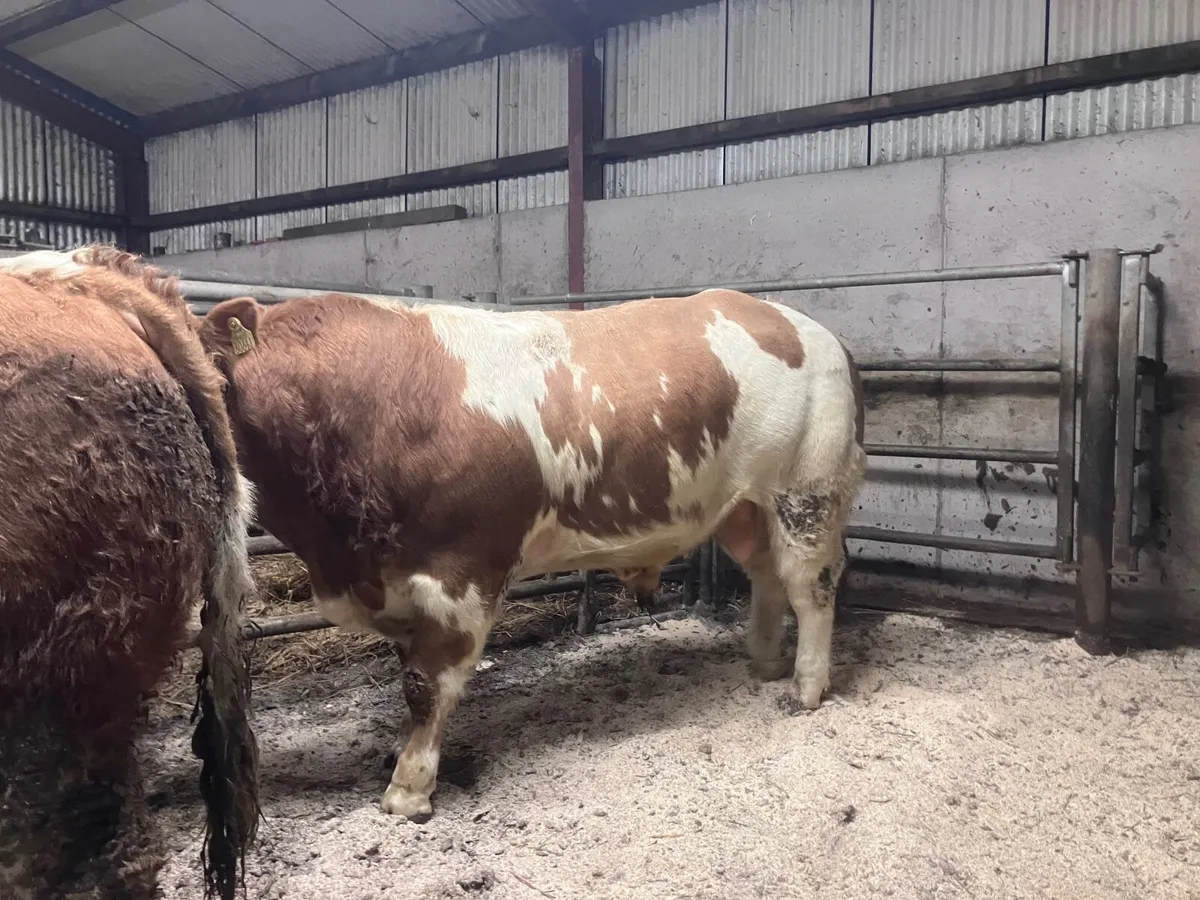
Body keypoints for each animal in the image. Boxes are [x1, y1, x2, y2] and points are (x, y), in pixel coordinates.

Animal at [195, 283, 866, 824]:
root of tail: (800, 323)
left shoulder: (459, 576)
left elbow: (425, 683)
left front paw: (410, 789)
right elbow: (407, 673)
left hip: (807, 492)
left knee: (812, 585)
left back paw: (805, 686)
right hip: (745, 507)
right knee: (768, 576)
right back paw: (764, 661)